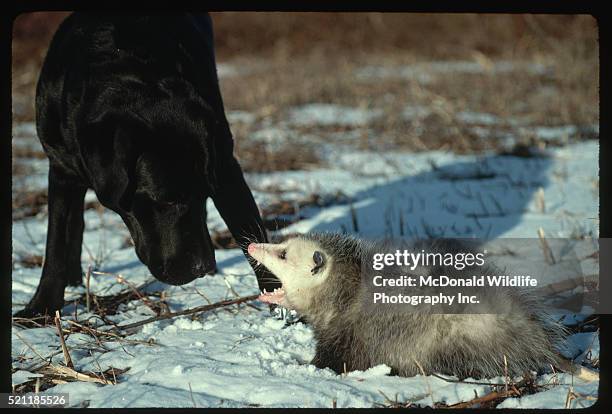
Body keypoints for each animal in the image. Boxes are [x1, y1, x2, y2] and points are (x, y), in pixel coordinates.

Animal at [14, 12, 280, 316]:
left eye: (204, 195)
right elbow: (56, 241)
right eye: (165, 201)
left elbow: (250, 229)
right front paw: (42, 306)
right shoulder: (60, 166)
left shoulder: (224, 165)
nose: (202, 267)